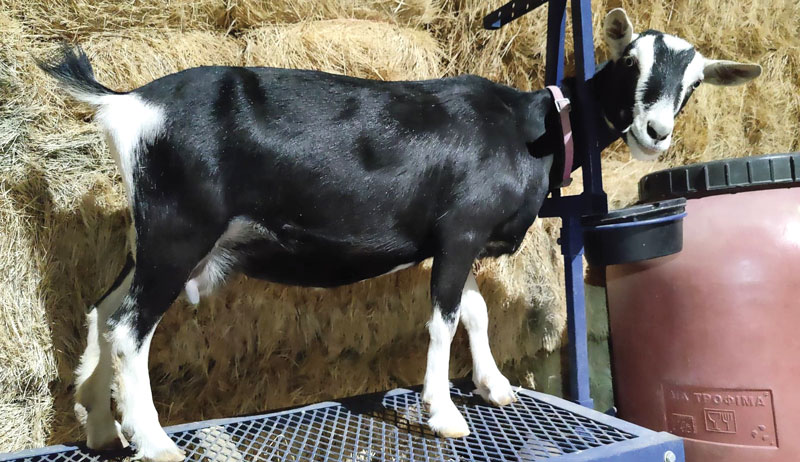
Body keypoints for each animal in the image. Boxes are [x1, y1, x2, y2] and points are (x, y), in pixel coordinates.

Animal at [39, 8, 759, 462]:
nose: (655, 132)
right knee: (129, 328)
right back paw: (154, 441)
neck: (530, 125)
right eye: (629, 60)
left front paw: (495, 387)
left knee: (101, 310)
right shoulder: (461, 229)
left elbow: (473, 310)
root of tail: (130, 103)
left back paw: (101, 428)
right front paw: (445, 414)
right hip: (181, 230)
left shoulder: (448, 242)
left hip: (157, 236)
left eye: (694, 83)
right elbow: (443, 319)